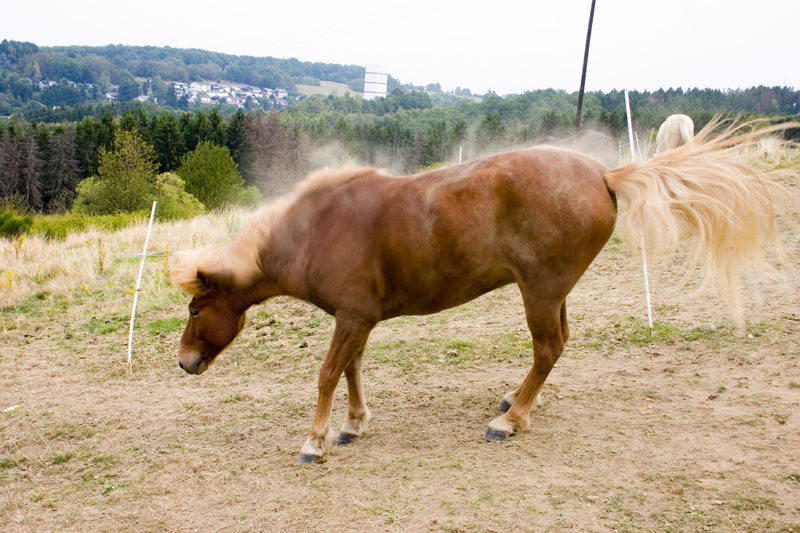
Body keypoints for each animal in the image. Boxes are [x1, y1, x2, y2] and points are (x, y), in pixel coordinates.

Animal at [172, 118, 792, 464]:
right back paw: (514, 404)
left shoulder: (350, 317)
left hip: (538, 293)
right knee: (556, 346)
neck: (318, 228)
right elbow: (351, 370)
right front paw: (352, 425)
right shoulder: (358, 319)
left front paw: (314, 442)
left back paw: (508, 421)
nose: (183, 363)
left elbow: (328, 373)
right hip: (551, 293)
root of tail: (603, 175)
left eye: (196, 307)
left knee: (547, 349)